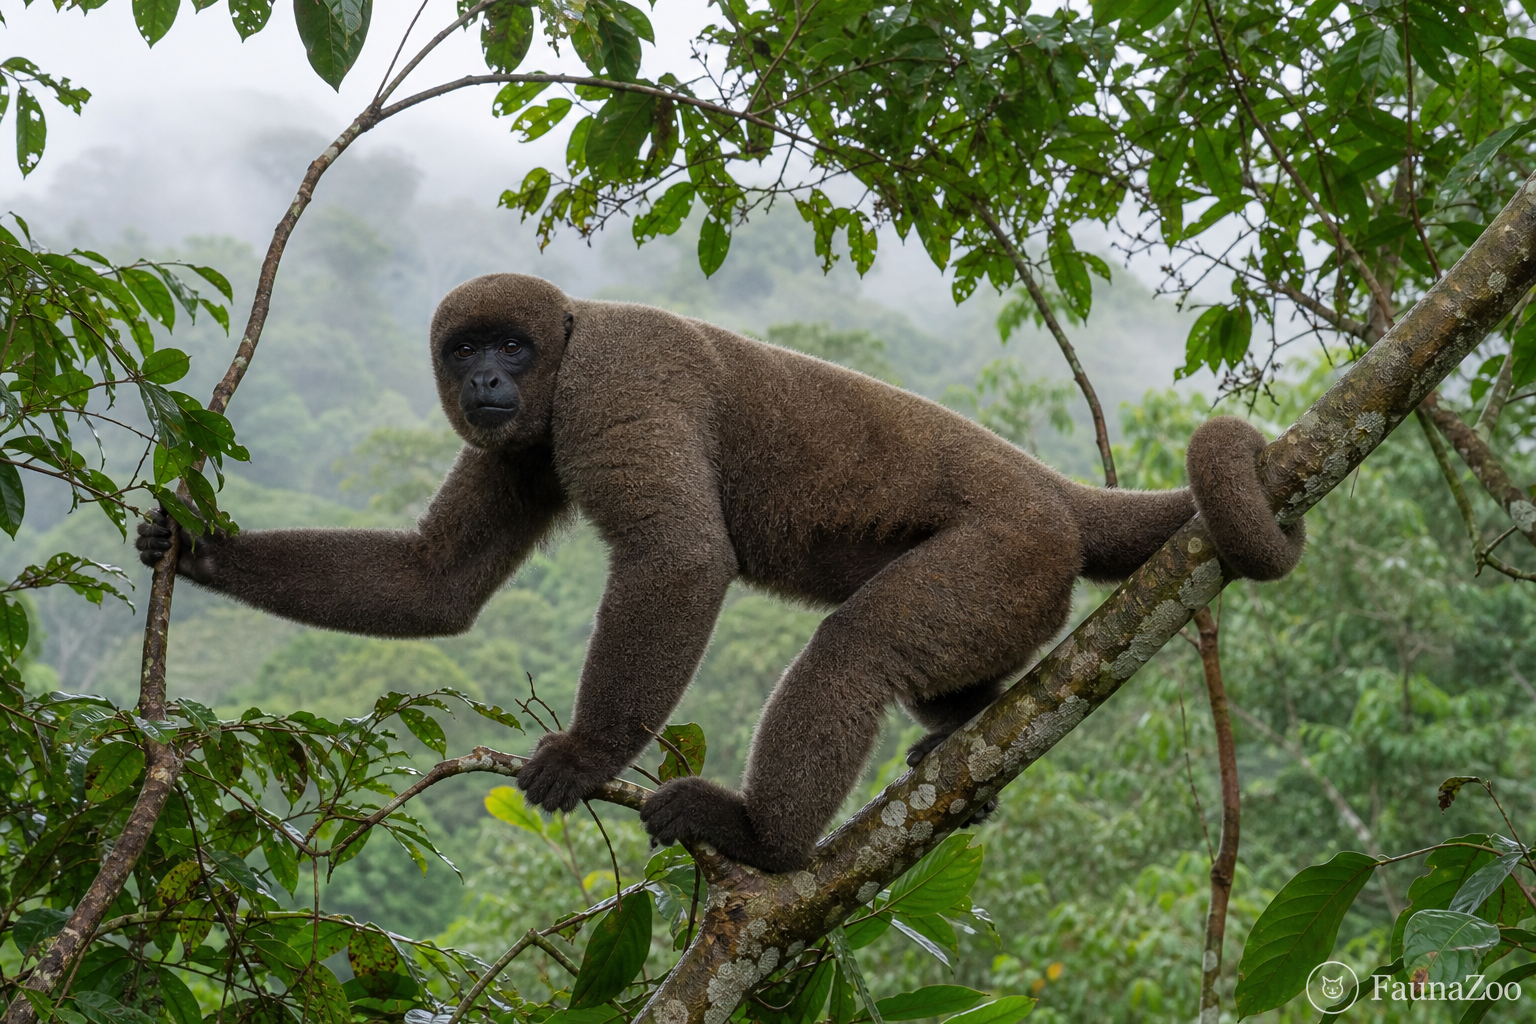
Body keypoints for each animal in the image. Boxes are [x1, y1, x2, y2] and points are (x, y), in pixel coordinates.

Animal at [138, 273, 1304, 874]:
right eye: (466, 348)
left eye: (514, 346)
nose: (484, 382)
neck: (570, 348)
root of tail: (1053, 490)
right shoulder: (522, 443)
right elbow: (438, 583)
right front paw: (195, 548)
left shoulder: (614, 382)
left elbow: (682, 558)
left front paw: (589, 750)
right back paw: (966, 717)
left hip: (1007, 551)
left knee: (856, 649)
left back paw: (765, 840)